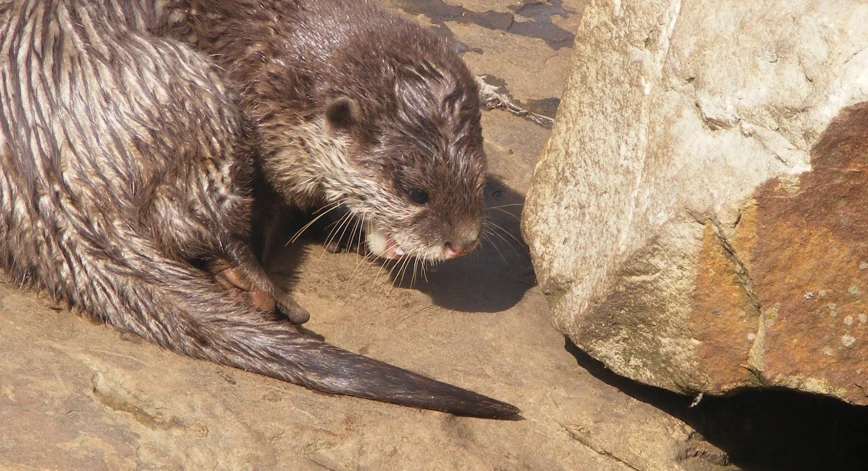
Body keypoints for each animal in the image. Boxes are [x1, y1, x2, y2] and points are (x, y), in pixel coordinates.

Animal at [0, 0, 520, 420]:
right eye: (416, 192)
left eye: (480, 179)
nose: (462, 242)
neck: (265, 54)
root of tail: (47, 171)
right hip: (197, 100)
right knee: (206, 220)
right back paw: (260, 291)